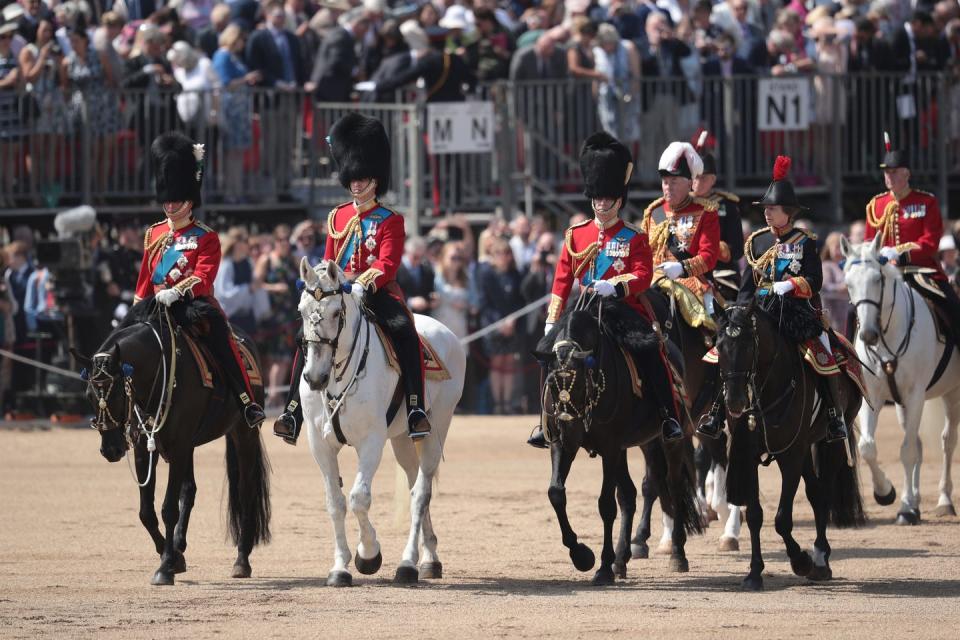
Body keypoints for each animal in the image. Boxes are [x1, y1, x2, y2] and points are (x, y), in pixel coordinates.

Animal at [73, 300, 270, 584]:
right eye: (89, 394)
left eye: (118, 393)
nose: (111, 449)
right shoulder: (147, 449)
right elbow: (146, 511)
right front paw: (173, 557)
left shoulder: (177, 446)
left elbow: (167, 508)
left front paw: (165, 566)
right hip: (190, 447)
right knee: (189, 490)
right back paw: (179, 544)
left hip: (243, 434)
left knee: (245, 492)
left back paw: (241, 560)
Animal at [298, 258, 466, 588]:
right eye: (300, 310)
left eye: (336, 312)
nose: (314, 377)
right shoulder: (319, 444)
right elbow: (335, 503)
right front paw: (340, 568)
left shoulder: (371, 441)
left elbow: (359, 498)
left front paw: (368, 555)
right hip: (402, 440)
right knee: (415, 486)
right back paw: (429, 558)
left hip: (435, 430)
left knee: (420, 494)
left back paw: (408, 564)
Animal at [536, 296, 700, 584]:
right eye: (552, 385)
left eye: (579, 383)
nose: (567, 426)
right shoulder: (562, 445)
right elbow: (556, 493)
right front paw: (581, 555)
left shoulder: (610, 448)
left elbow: (605, 504)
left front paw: (601, 566)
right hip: (630, 446)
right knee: (630, 495)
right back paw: (621, 560)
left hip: (670, 441)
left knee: (674, 485)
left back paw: (677, 554)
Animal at [716, 300, 868, 592]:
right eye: (718, 346)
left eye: (748, 345)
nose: (735, 401)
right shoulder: (750, 456)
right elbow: (755, 515)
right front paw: (754, 572)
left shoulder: (790, 455)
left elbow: (782, 519)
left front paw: (801, 560)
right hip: (805, 448)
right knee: (816, 493)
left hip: (829, 441)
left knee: (824, 493)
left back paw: (819, 560)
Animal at [844, 236, 956, 524]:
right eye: (848, 283)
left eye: (877, 279)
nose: (868, 335)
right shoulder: (873, 395)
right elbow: (868, 447)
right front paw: (886, 493)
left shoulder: (915, 395)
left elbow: (907, 451)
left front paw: (905, 508)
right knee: (917, 441)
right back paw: (915, 500)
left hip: (952, 394)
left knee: (947, 442)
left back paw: (944, 500)